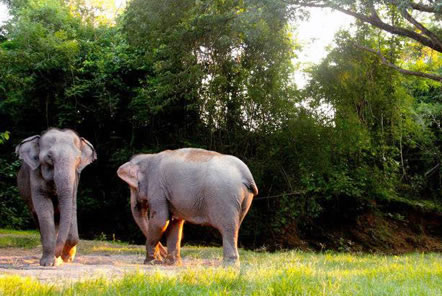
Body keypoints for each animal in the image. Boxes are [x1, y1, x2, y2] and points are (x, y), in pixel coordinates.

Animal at [16, 128, 96, 268]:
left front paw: (66, 258)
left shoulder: (75, 177)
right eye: (49, 157)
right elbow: (44, 210)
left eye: (78, 159)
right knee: (38, 216)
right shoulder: (35, 175)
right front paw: (48, 263)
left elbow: (72, 206)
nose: (58, 254)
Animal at [117, 148, 258, 266]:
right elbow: (175, 223)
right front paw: (171, 263)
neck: (149, 157)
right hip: (243, 199)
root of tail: (246, 174)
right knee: (235, 227)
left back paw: (229, 266)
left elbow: (160, 221)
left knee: (227, 229)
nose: (161, 257)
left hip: (224, 197)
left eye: (133, 188)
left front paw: (150, 262)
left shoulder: (157, 187)